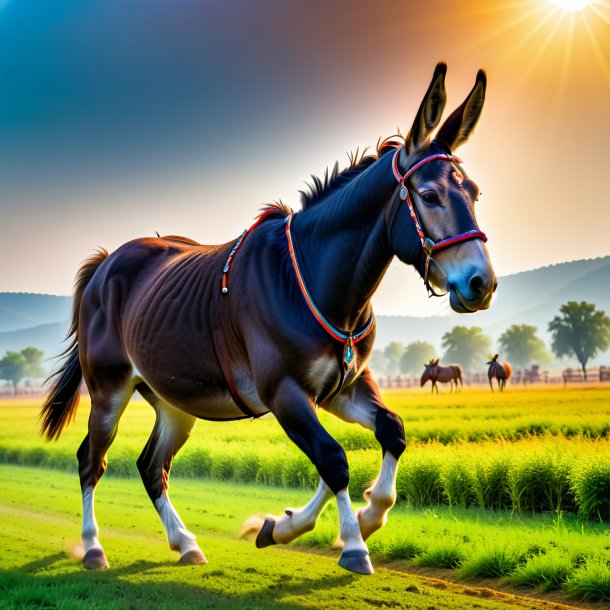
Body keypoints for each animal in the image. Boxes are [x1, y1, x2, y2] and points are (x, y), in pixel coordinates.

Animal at [39, 64, 494, 572]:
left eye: (473, 192)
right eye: (430, 195)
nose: (480, 282)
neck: (312, 279)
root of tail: (105, 265)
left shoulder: (343, 386)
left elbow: (388, 433)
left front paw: (320, 519)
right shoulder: (284, 391)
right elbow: (333, 459)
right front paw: (351, 543)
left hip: (173, 402)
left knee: (151, 466)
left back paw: (186, 543)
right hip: (109, 389)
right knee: (90, 461)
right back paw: (93, 547)